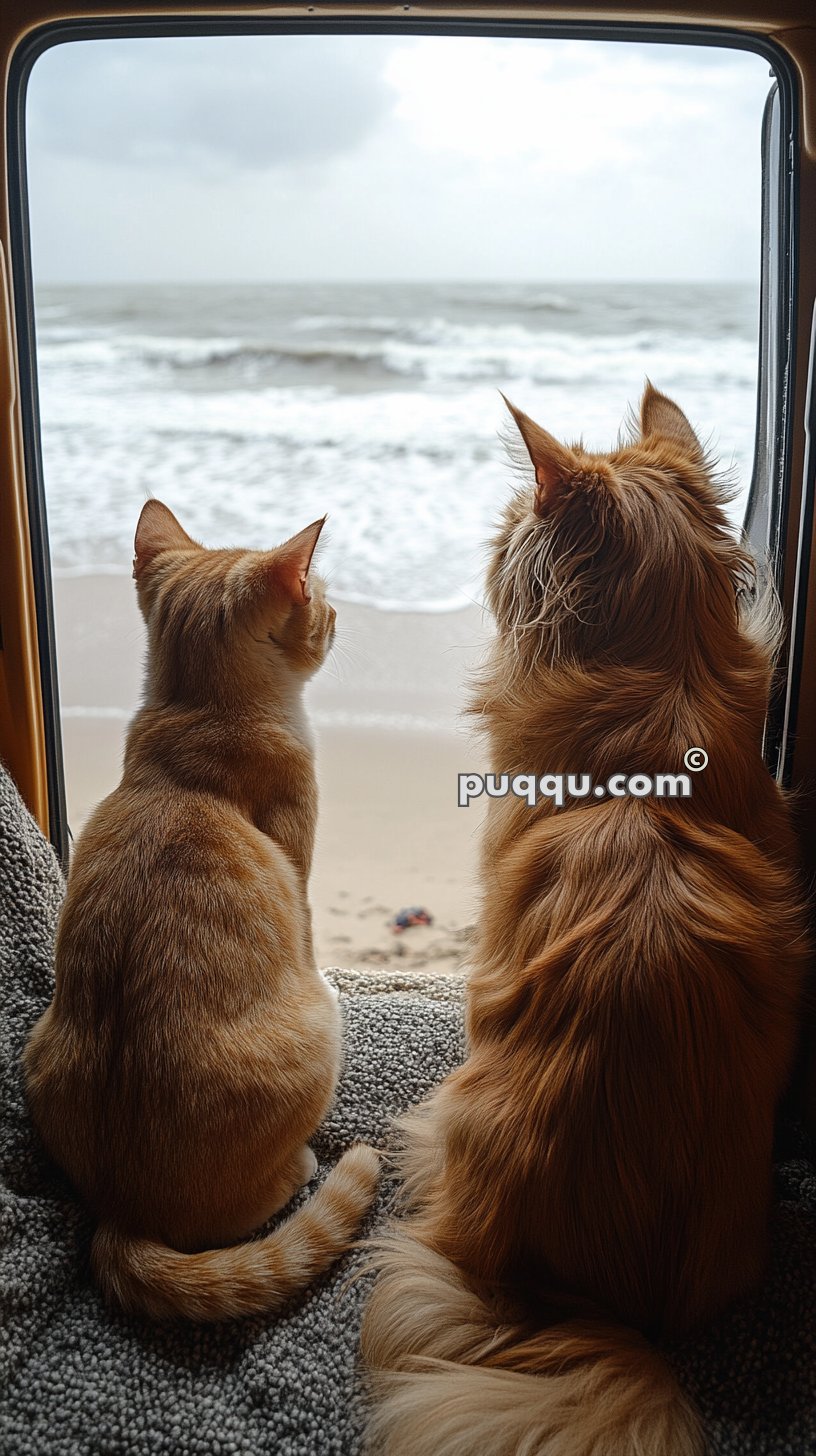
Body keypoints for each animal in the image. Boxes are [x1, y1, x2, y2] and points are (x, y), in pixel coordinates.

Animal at [24, 500, 378, 1322]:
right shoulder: (300, 873)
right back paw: (302, 1166)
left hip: (36, 1048)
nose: (341, 616)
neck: (196, 712)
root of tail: (125, 1216)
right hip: (322, 1025)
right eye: (321, 598)